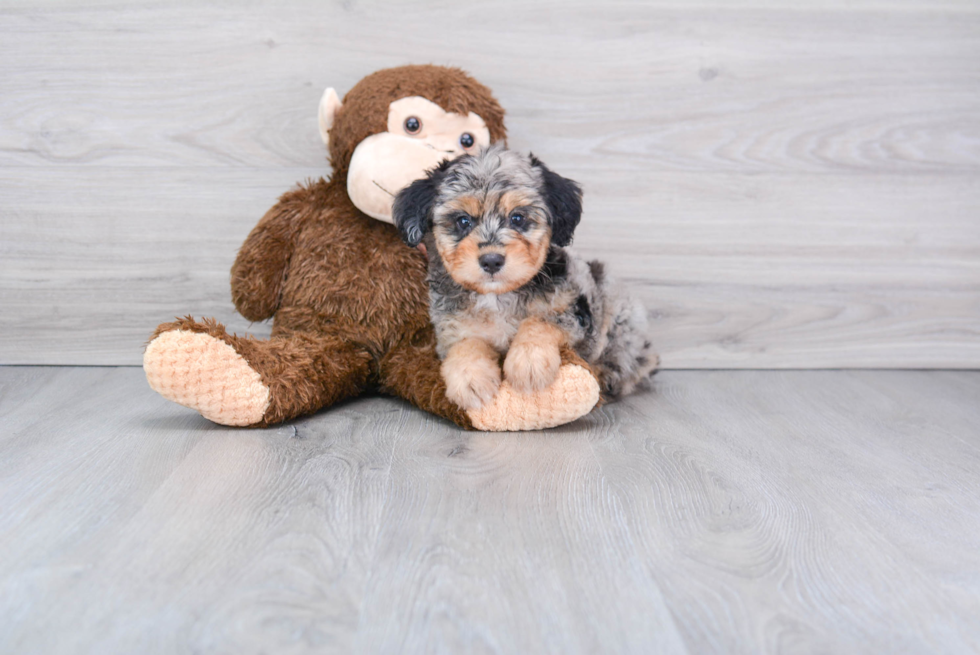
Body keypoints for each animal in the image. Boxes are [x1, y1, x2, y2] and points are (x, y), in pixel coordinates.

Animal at [392, 145, 660, 410]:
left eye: (517, 218)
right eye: (463, 221)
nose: (491, 260)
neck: (497, 297)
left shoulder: (575, 312)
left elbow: (541, 320)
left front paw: (529, 363)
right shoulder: (452, 329)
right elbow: (465, 344)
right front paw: (471, 380)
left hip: (620, 312)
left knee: (633, 358)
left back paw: (607, 375)